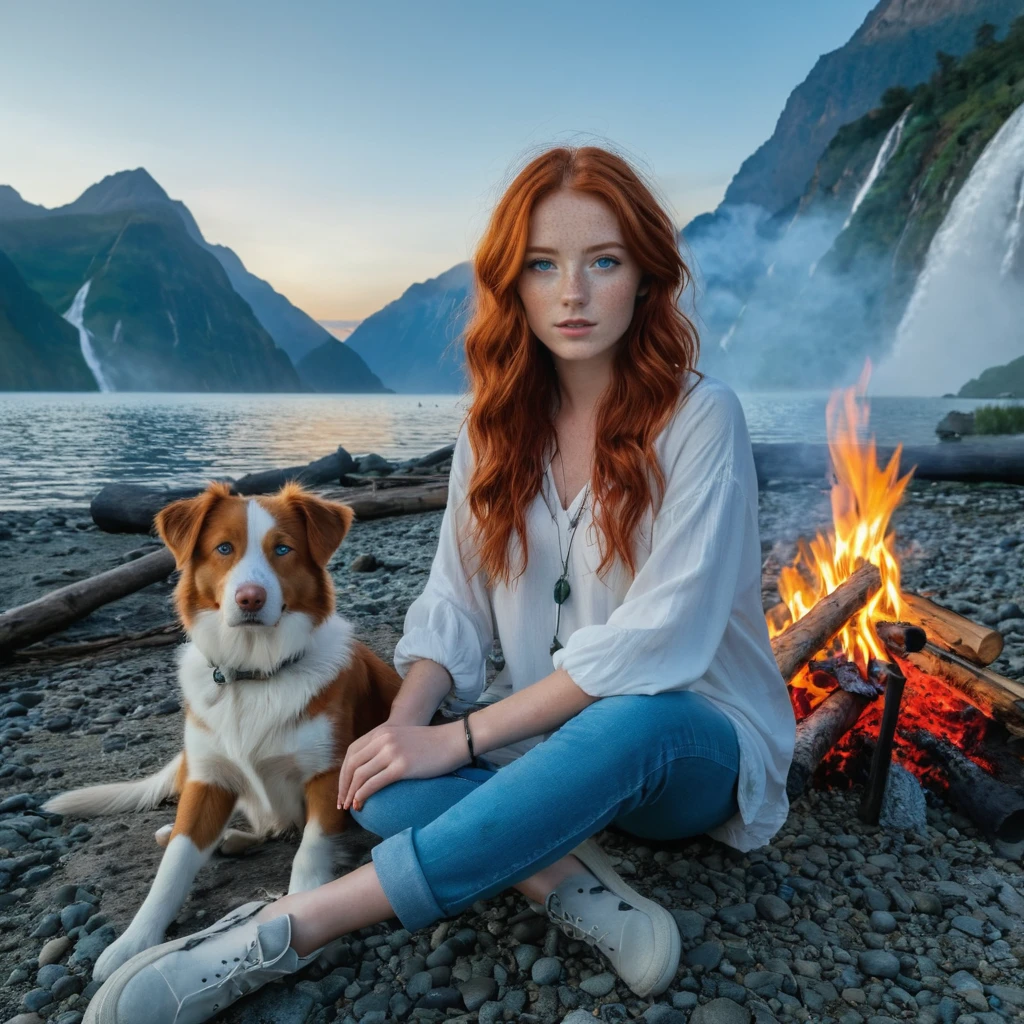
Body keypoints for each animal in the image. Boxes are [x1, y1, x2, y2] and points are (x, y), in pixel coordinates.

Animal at [44, 479, 403, 983]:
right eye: (224, 549)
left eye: (283, 549)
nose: (250, 598)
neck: (253, 675)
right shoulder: (207, 780)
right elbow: (173, 867)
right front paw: (132, 943)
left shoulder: (329, 775)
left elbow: (309, 852)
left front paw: (300, 914)